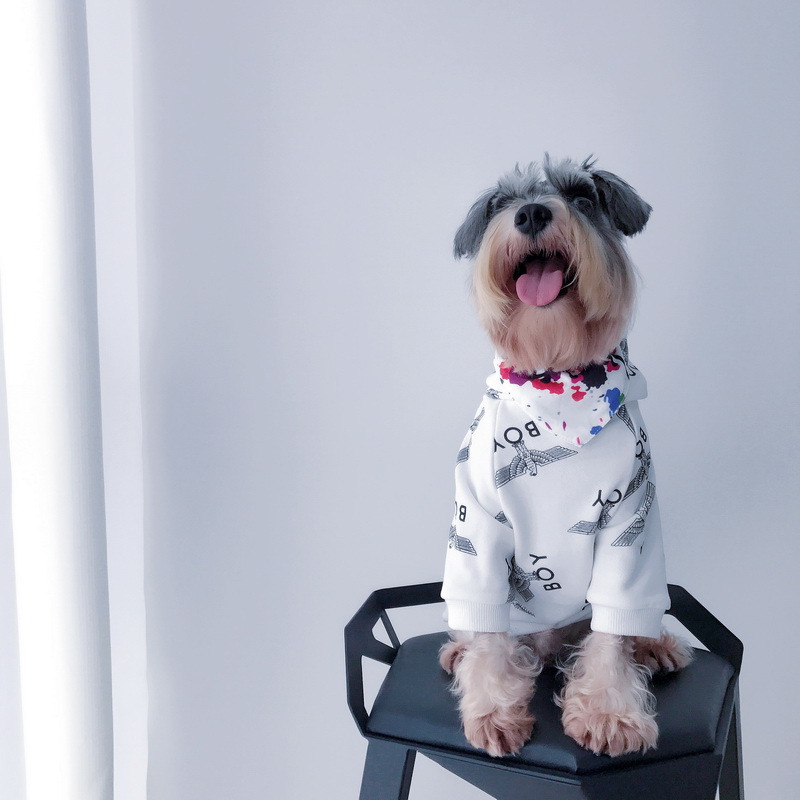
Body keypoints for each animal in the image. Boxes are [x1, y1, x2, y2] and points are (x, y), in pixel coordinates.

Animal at [439, 156, 692, 759]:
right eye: (502, 202)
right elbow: (488, 632)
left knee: (624, 622)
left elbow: (611, 634)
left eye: (581, 195)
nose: (531, 212)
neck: (557, 378)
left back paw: (654, 645)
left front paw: (609, 712)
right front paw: (492, 710)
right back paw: (458, 651)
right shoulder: (478, 527)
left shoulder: (629, 523)